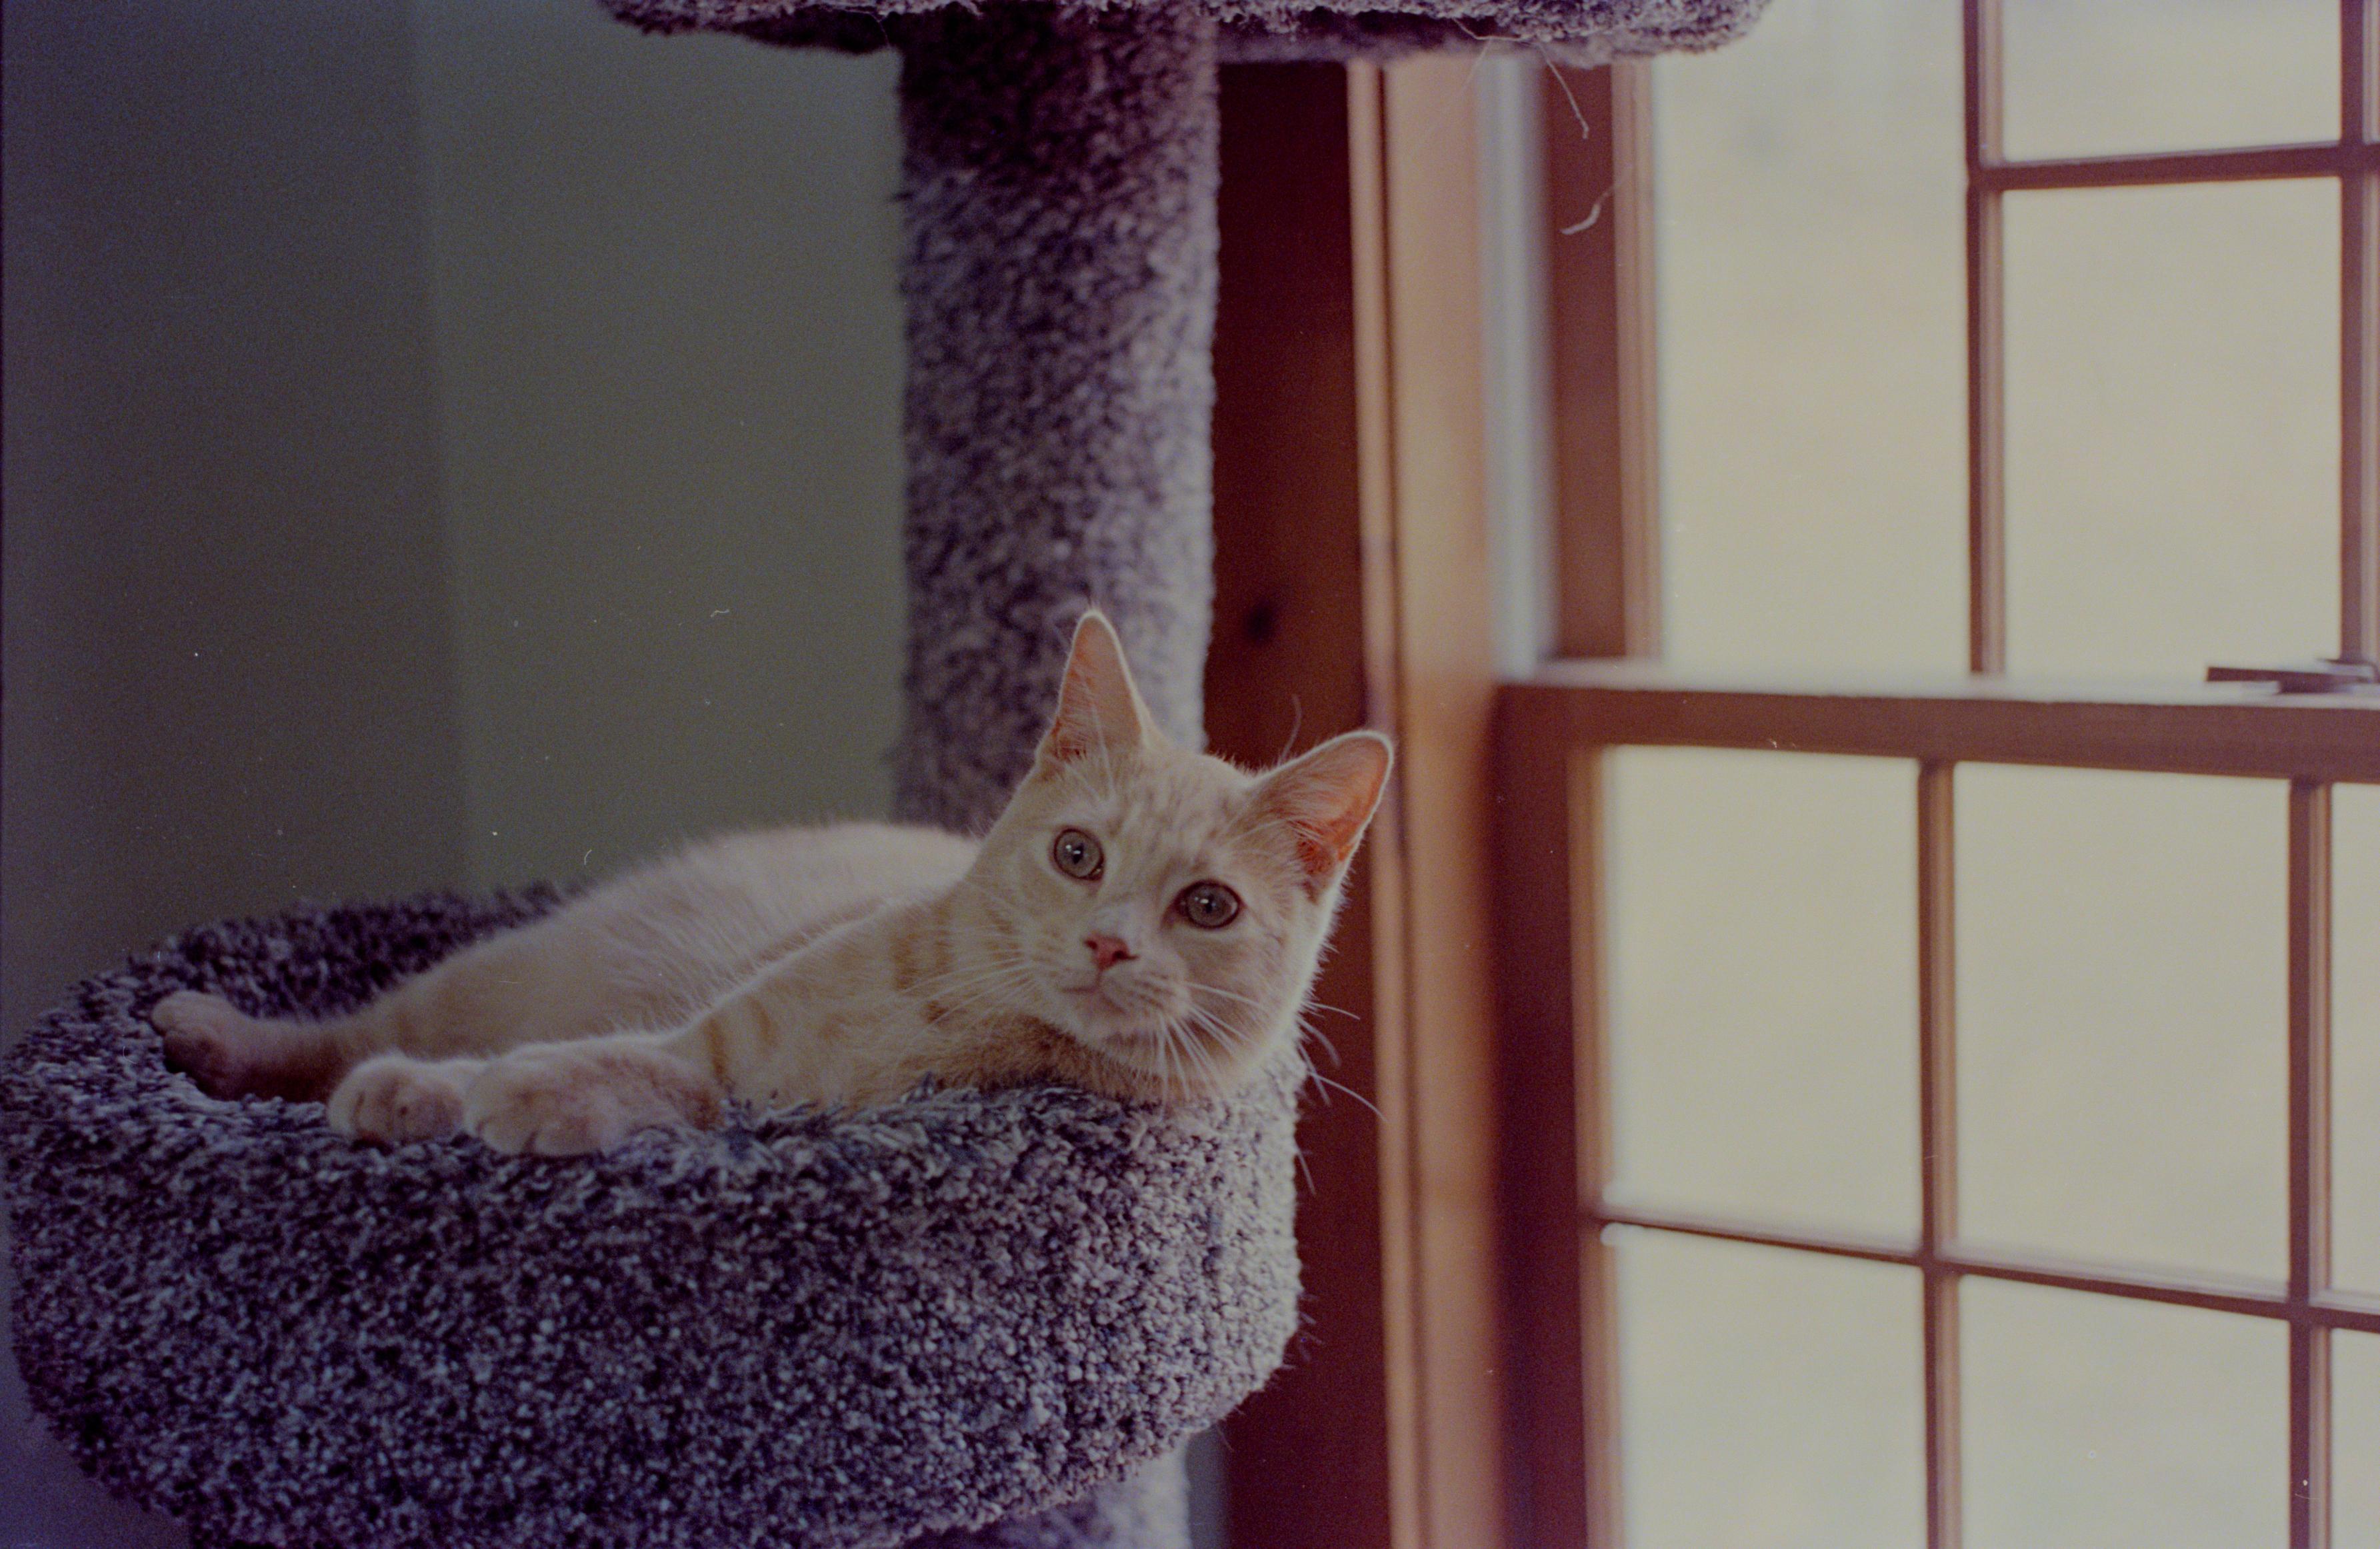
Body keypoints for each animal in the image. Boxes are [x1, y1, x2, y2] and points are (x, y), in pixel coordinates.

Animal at [158, 614, 1389, 1156]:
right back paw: (214, 1034)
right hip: (489, 972)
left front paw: (533, 1095)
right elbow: (651, 1056)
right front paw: (438, 1091)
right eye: (1079, 854)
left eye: (1207, 907)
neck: (947, 1015)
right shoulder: (718, 1026)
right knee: (352, 1030)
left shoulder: (755, 1093)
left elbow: (667, 1080)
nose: (1107, 943)